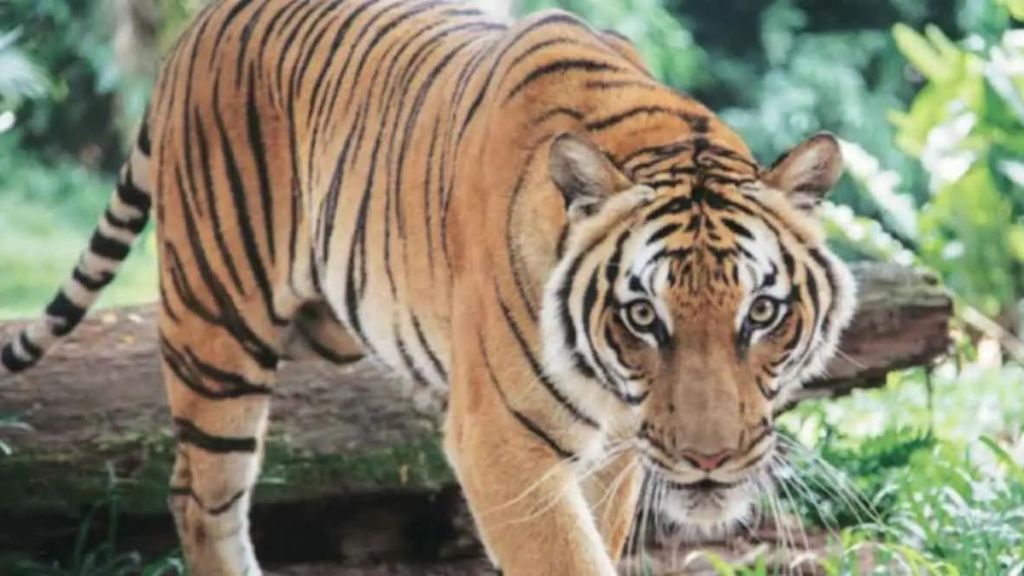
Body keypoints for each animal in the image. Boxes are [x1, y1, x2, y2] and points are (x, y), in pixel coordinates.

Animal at [0, 0, 857, 574]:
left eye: (763, 312)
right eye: (643, 316)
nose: (710, 460)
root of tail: (200, 23)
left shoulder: (615, 451)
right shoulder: (501, 445)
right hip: (216, 329)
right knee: (198, 496)